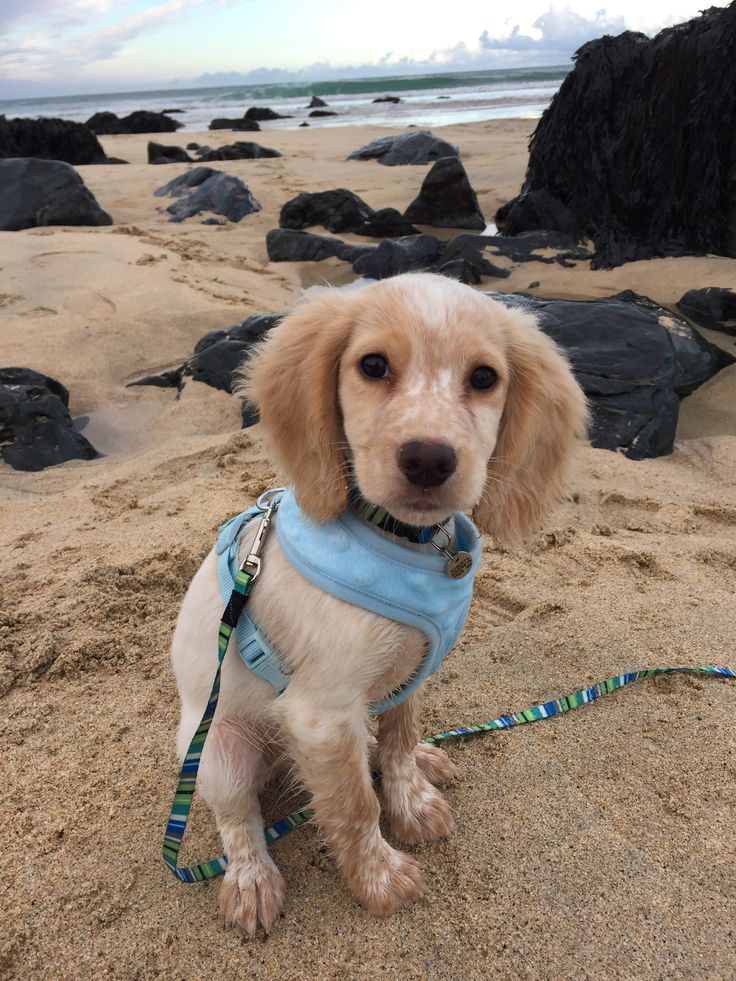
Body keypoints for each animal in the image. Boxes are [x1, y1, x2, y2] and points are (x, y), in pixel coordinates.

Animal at [170, 270, 588, 936]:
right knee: (238, 817)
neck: (402, 543)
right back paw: (251, 879)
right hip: (217, 750)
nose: (428, 459)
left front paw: (411, 800)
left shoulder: (409, 676)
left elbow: (394, 744)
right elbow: (353, 805)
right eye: (372, 365)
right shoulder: (320, 712)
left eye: (484, 378)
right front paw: (378, 877)